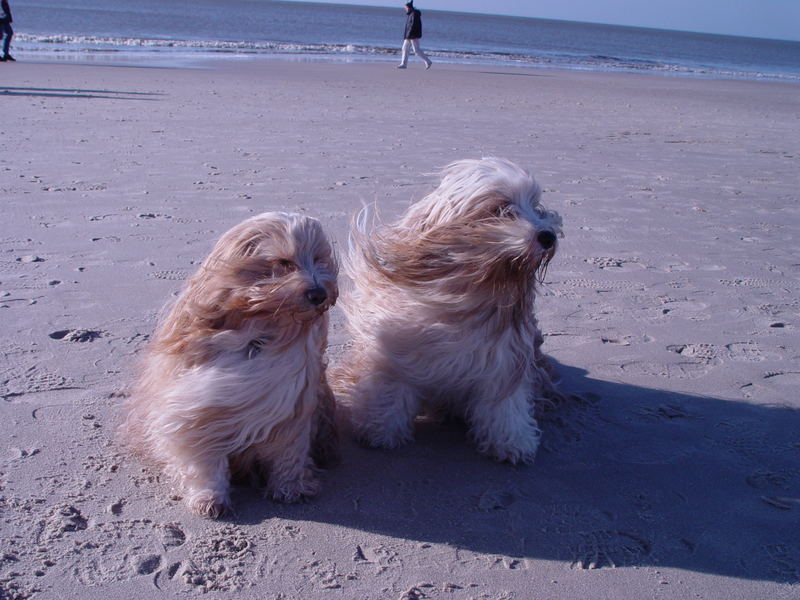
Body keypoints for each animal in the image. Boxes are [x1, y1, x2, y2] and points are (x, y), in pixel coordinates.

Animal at [122, 211, 338, 516]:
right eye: (284, 263)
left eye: (319, 259)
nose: (319, 293)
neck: (258, 332)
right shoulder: (198, 410)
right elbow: (205, 462)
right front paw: (209, 498)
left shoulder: (292, 409)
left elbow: (288, 455)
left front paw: (289, 488)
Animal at [338, 156, 564, 464]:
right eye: (501, 209)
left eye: (537, 206)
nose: (548, 236)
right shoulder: (398, 355)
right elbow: (392, 390)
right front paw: (380, 430)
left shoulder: (506, 360)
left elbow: (504, 404)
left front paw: (511, 442)